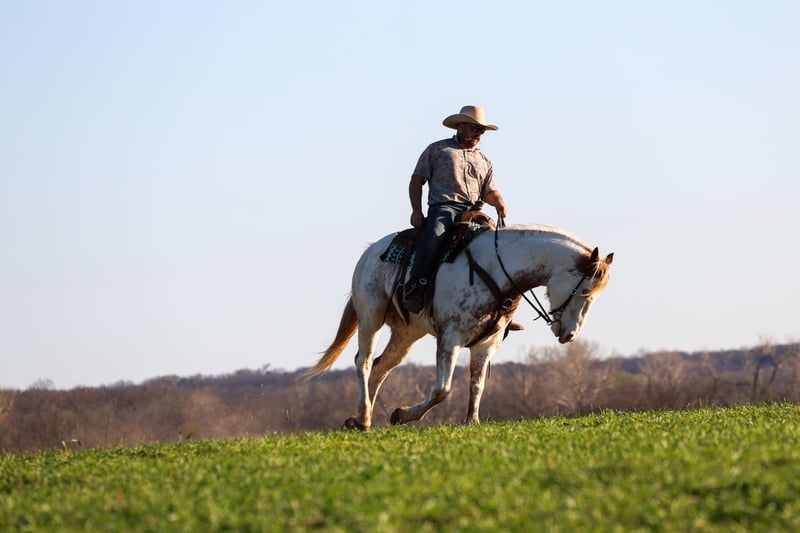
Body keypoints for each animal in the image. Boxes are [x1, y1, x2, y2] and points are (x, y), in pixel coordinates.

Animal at [303, 224, 613, 431]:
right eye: (584, 291)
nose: (569, 335)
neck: (495, 271)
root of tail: (370, 251)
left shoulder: (487, 344)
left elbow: (477, 384)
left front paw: (471, 421)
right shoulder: (450, 338)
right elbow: (443, 388)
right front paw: (403, 414)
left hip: (406, 334)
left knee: (380, 368)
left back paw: (362, 417)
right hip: (372, 317)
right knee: (364, 362)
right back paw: (364, 420)